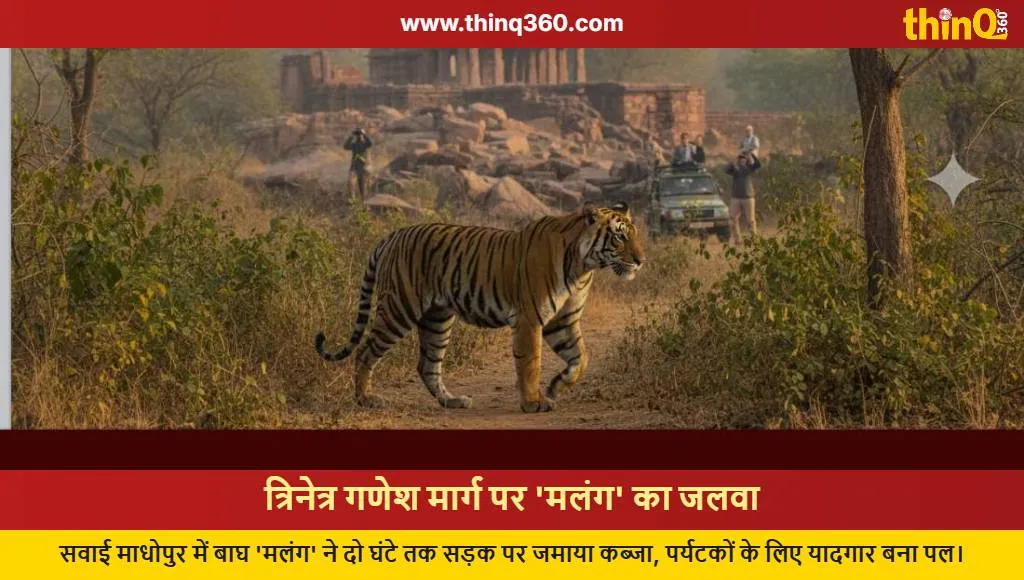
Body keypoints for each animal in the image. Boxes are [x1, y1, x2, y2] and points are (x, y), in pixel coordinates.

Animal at [314, 201, 646, 413]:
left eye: (636, 235)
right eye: (619, 237)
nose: (641, 260)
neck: (583, 267)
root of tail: (392, 234)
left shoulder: (562, 321)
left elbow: (581, 358)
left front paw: (555, 387)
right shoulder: (530, 318)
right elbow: (530, 362)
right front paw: (533, 402)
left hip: (437, 319)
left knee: (427, 365)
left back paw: (453, 402)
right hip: (398, 309)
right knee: (365, 351)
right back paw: (366, 399)